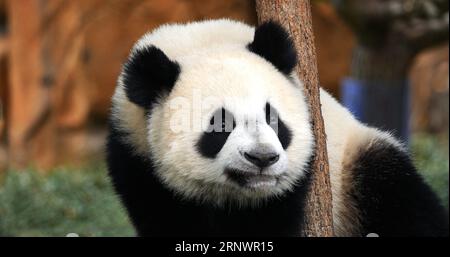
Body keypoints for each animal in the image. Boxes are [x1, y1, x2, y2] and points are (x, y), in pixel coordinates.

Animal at [107, 19, 448, 236]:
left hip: (356, 165)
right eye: (220, 124)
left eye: (273, 119)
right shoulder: (136, 157)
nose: (262, 158)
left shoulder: (302, 177)